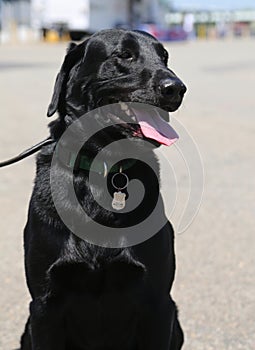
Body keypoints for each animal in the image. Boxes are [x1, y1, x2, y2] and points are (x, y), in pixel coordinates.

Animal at [19, 30, 186, 350]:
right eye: (124, 55)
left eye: (165, 57)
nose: (177, 88)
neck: (105, 170)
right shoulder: (44, 306)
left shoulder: (158, 304)